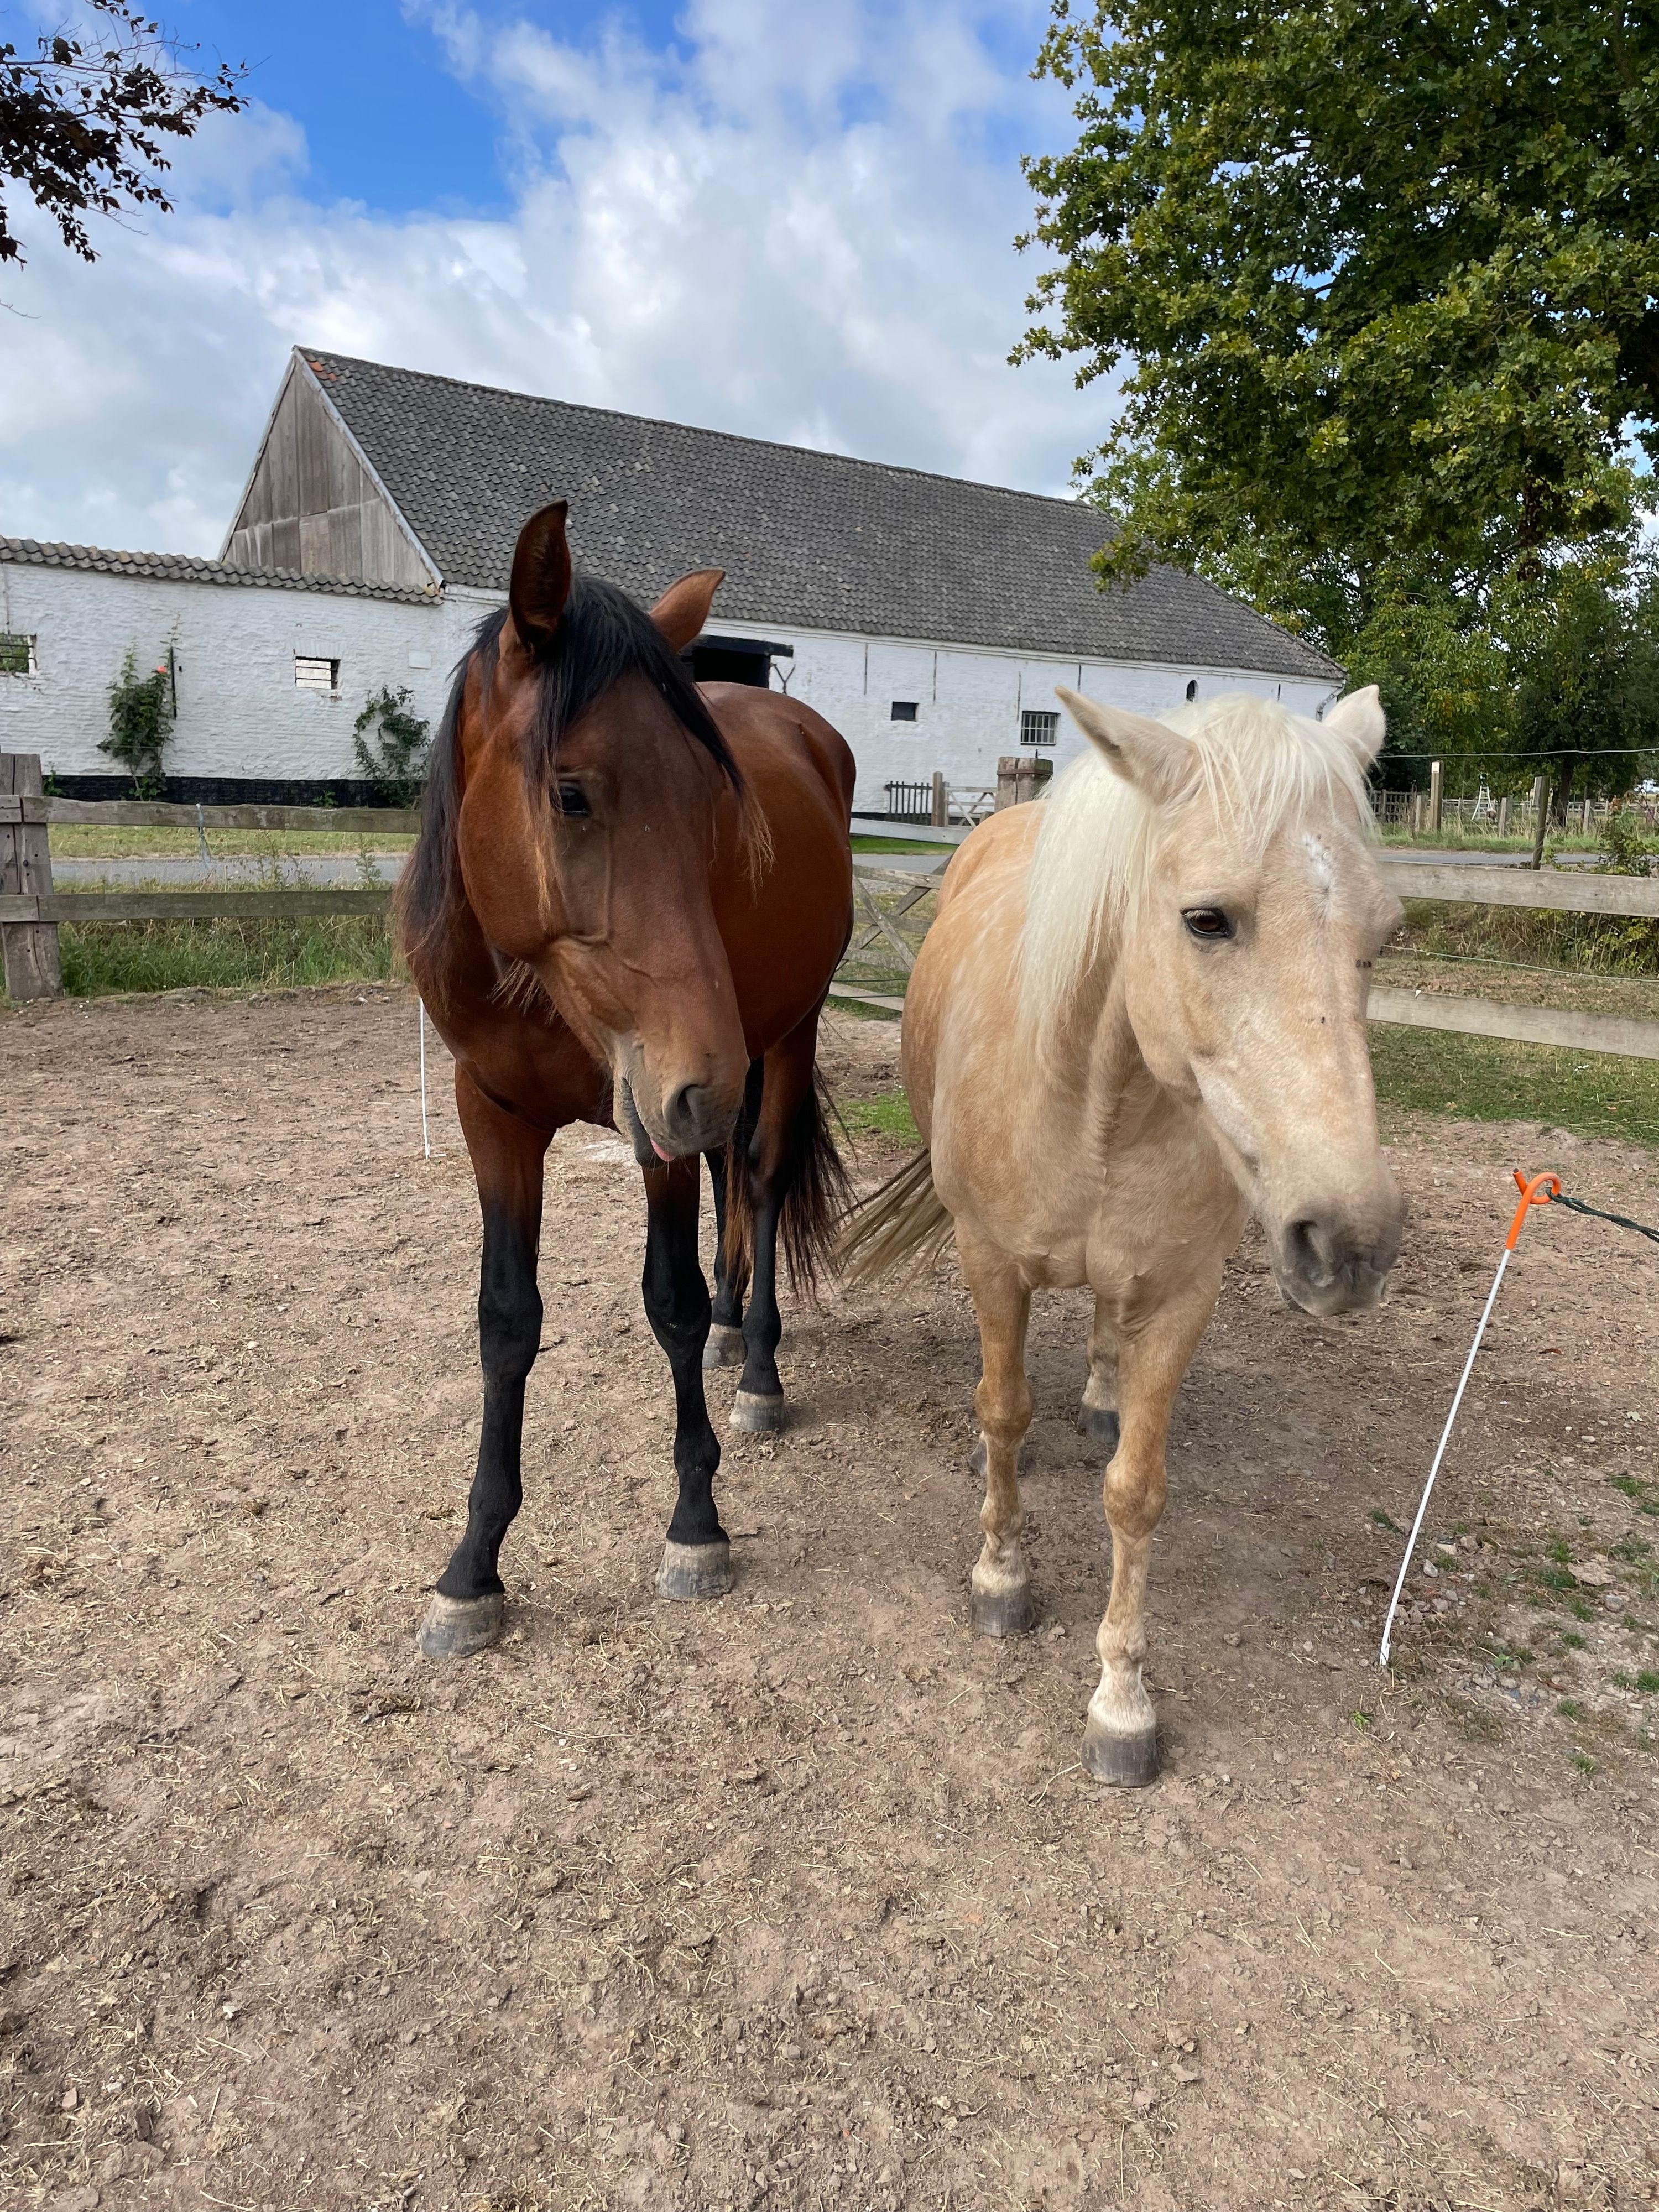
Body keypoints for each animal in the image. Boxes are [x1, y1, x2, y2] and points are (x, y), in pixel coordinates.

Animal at [399, 500, 855, 1660]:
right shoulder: (492, 1116)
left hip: (779, 1045)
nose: (708, 1085)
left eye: (711, 805)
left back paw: (759, 1367)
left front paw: (697, 1522)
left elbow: (672, 1303)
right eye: (571, 795)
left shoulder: (659, 1120)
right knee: (735, 1179)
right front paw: (473, 1568)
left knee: (761, 1178)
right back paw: (743, 1322)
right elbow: (506, 1320)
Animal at [839, 685, 1405, 1785]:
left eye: (1384, 935)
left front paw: (1122, 1703)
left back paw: (1103, 1396)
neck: (1092, 1098)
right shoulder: (990, 1266)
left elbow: (1136, 1493)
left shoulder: (1183, 1295)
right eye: (1206, 920)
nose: (1349, 1243)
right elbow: (1004, 1414)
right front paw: (1003, 1578)